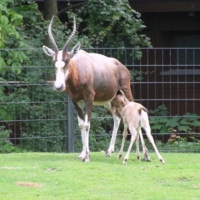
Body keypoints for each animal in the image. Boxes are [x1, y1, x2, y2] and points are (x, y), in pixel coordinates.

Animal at [42, 16, 133, 162]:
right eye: (54, 63)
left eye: (67, 61)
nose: (58, 86)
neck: (80, 69)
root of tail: (122, 66)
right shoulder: (75, 100)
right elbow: (81, 125)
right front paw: (82, 154)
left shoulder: (89, 98)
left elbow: (87, 124)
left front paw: (87, 157)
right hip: (109, 101)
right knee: (117, 118)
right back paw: (109, 151)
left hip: (126, 93)